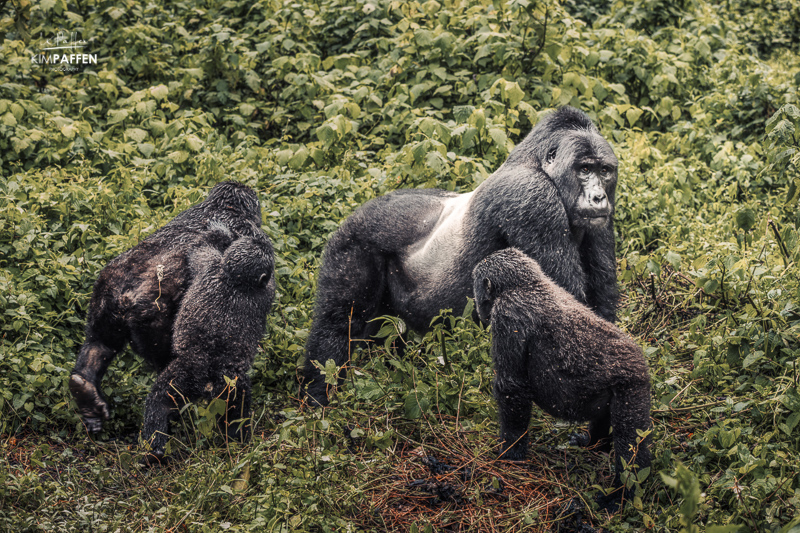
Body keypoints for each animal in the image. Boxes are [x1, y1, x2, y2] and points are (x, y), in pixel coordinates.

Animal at [70, 182, 264, 432]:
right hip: (151, 316)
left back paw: (85, 389)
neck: (225, 208)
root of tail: (126, 295)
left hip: (105, 290)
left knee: (101, 342)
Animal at [139, 234, 274, 462]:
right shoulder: (265, 292)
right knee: (236, 410)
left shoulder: (207, 264)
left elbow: (198, 249)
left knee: (159, 400)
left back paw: (154, 448)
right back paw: (240, 444)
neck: (233, 280)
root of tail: (205, 378)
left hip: (182, 375)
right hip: (228, 384)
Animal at [304, 106, 620, 406]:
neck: (540, 165)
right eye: (584, 169)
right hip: (353, 240)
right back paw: (318, 396)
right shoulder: (532, 198)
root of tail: (356, 212)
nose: (598, 197)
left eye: (605, 170)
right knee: (337, 325)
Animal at [476, 247, 648, 510]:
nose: (477, 309)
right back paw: (593, 443)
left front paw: (511, 454)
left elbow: (512, 387)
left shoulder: (507, 315)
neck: (527, 284)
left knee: (629, 444)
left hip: (633, 387)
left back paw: (621, 493)